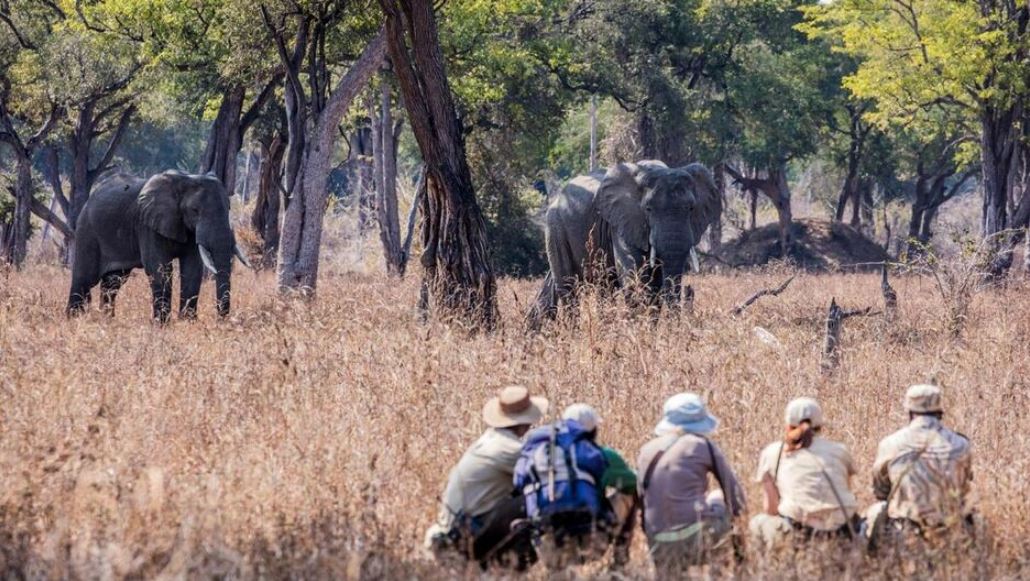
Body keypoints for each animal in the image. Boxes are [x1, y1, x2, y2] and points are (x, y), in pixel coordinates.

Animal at [67, 170, 251, 322]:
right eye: (194, 210)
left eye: (229, 208)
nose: (222, 321)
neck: (185, 178)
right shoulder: (147, 224)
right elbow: (159, 267)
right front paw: (162, 324)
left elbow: (192, 269)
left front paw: (187, 322)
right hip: (87, 230)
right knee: (85, 278)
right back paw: (74, 318)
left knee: (113, 282)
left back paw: (106, 320)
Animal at [528, 160, 721, 326]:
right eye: (648, 209)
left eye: (691, 208)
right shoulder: (622, 222)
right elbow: (633, 279)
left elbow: (655, 286)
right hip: (555, 226)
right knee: (568, 286)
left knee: (604, 288)